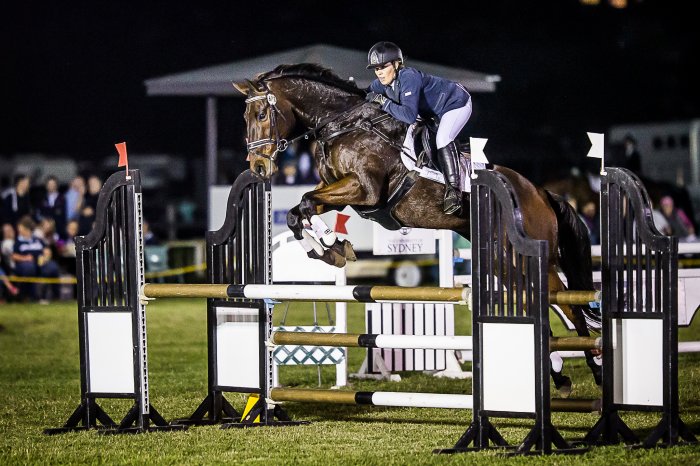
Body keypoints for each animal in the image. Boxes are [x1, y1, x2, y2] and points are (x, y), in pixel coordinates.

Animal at [233, 63, 601, 392]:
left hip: (536, 259)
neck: (343, 125)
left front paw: (333, 246)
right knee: (537, 303)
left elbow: (308, 202)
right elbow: (300, 212)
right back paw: (557, 374)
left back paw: (594, 369)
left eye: (262, 115)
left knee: (569, 305)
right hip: (504, 260)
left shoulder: (363, 190)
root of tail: (540, 192)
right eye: (245, 118)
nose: (259, 167)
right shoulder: (339, 194)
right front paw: (330, 250)